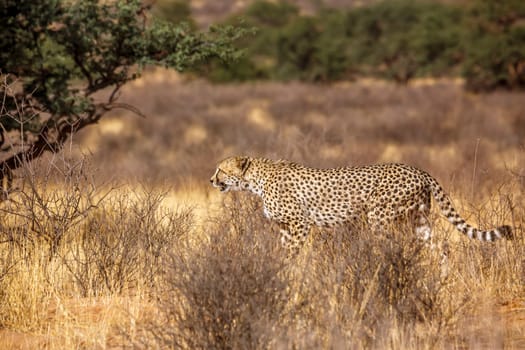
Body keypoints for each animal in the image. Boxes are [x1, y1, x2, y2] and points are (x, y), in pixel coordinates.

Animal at [210, 156, 512, 252]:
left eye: (221, 170)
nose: (211, 180)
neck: (255, 180)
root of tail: (418, 169)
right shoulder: (285, 227)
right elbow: (281, 252)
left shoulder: (300, 223)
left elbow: (291, 254)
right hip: (418, 219)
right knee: (441, 247)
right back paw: (441, 279)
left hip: (379, 217)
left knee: (389, 245)